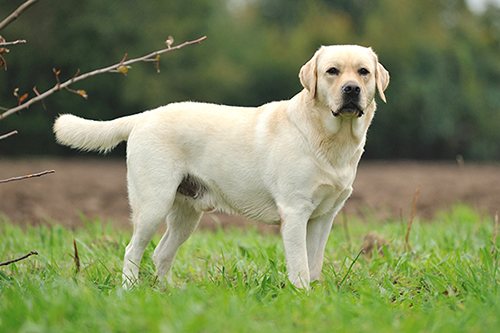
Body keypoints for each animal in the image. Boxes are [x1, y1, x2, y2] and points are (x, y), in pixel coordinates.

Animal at [54, 44, 390, 288]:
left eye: (363, 72)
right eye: (332, 71)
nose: (351, 89)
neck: (331, 139)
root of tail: (144, 116)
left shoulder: (323, 217)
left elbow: (314, 263)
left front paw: (315, 296)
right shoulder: (295, 212)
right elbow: (299, 266)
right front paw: (302, 295)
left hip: (186, 214)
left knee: (162, 253)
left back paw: (167, 293)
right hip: (153, 205)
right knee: (132, 251)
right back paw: (130, 291)